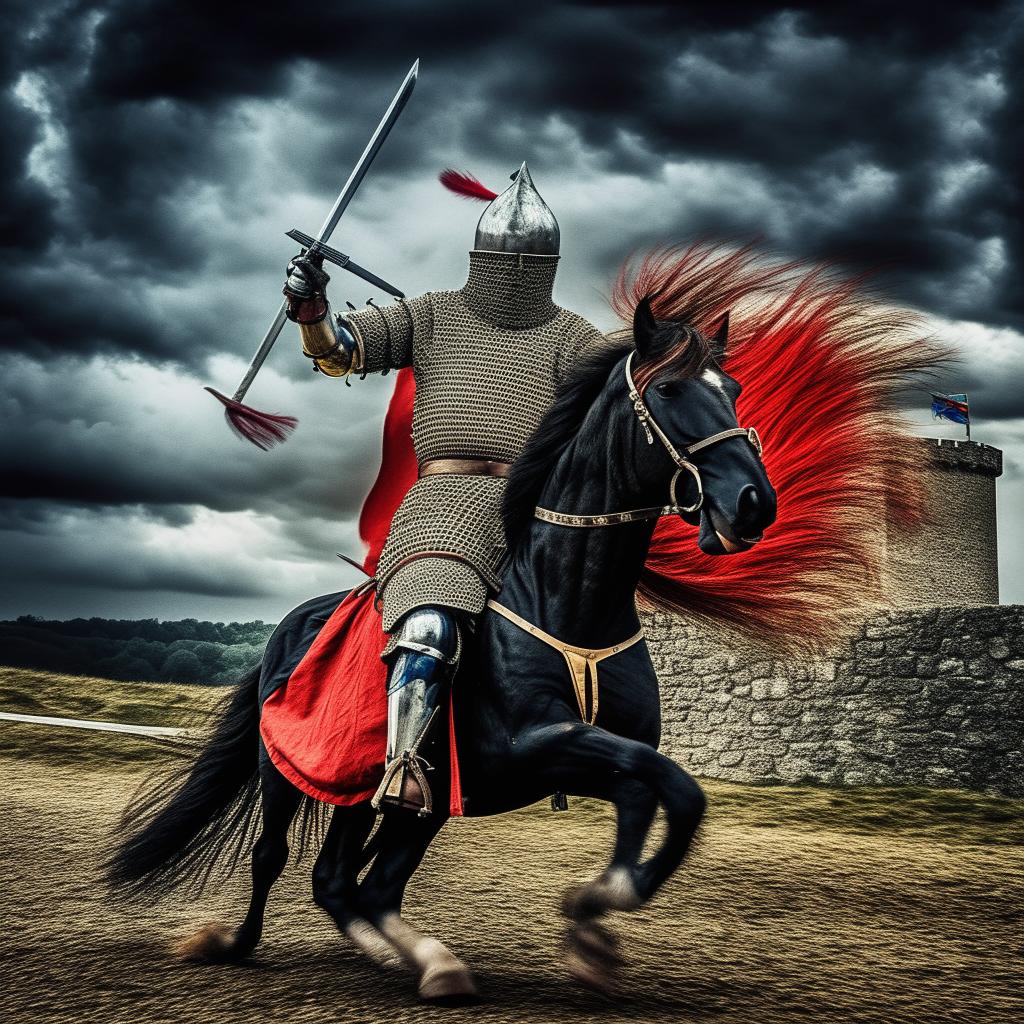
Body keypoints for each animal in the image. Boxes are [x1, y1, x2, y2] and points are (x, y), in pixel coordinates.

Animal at [108, 296, 774, 999]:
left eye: (731, 390)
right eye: (668, 389)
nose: (752, 502)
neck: (567, 603)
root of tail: (287, 629)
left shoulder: (584, 756)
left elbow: (659, 792)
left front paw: (596, 917)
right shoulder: (533, 746)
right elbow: (667, 784)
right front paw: (598, 904)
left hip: (387, 795)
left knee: (348, 881)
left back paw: (409, 955)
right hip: (284, 768)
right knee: (281, 857)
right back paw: (238, 943)